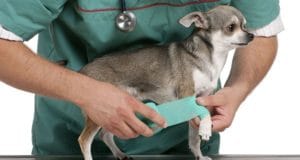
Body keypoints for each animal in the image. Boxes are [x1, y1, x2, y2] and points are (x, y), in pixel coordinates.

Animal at [77, 5, 253, 160]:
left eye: (244, 26)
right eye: (231, 27)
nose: (251, 35)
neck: (210, 60)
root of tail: (83, 71)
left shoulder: (200, 99)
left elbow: (194, 139)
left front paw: (199, 155)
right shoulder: (187, 95)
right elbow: (205, 114)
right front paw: (205, 128)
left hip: (115, 113)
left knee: (105, 135)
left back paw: (120, 154)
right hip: (99, 111)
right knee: (84, 140)